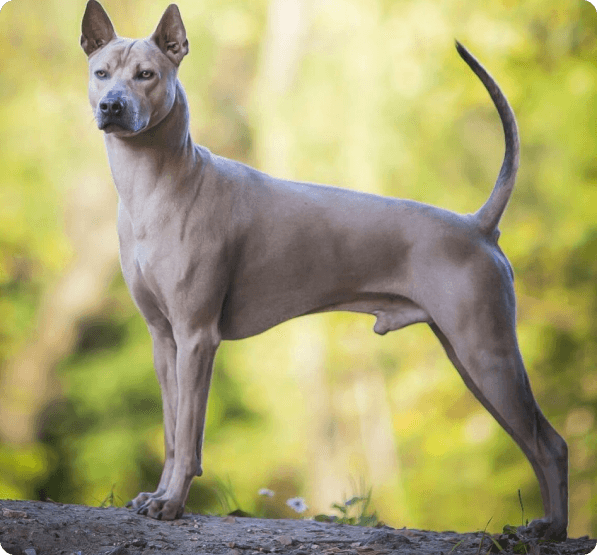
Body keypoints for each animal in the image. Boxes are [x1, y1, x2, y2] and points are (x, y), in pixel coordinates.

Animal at [80, 0, 568, 540]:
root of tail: (477, 224)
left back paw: (553, 529)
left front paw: (172, 504)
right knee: (534, 442)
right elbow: (170, 432)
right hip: (469, 359)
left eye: (146, 75)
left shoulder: (196, 338)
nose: (112, 106)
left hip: (486, 350)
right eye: (101, 73)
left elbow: (188, 435)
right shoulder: (163, 340)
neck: (156, 185)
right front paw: (158, 495)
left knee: (551, 445)